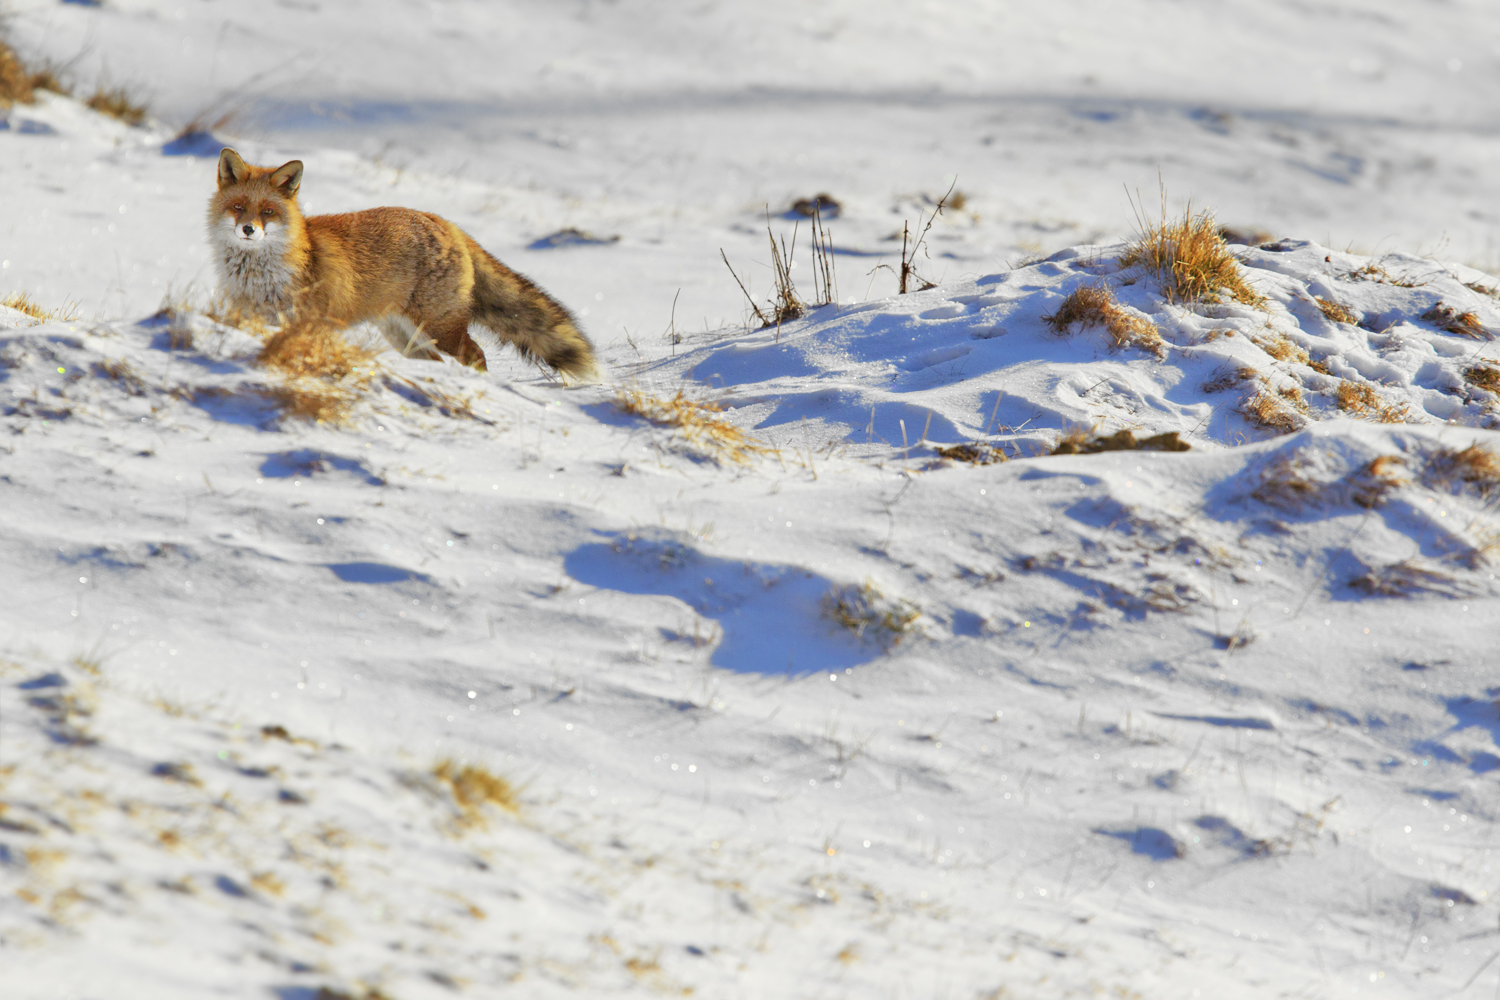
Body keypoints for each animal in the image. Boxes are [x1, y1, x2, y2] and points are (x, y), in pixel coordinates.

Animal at [207, 147, 598, 380]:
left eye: (268, 212)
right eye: (239, 207)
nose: (248, 229)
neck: (259, 276)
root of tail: (444, 222)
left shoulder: (304, 320)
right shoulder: (249, 315)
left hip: (438, 329)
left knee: (476, 355)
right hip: (404, 337)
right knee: (439, 363)